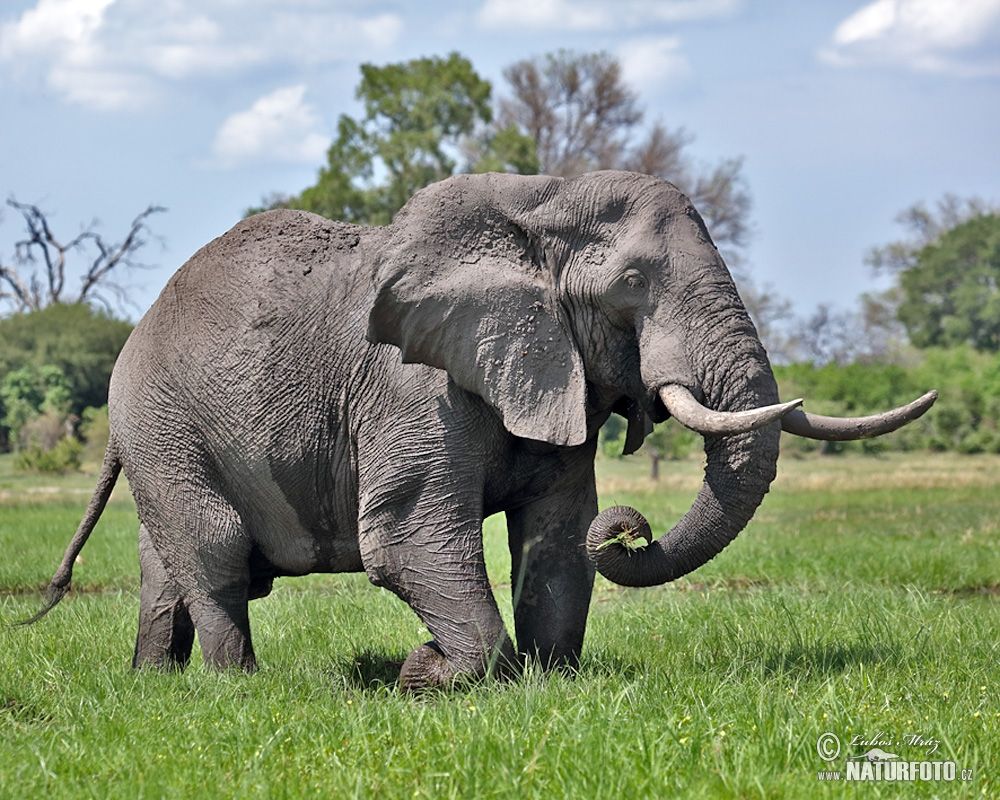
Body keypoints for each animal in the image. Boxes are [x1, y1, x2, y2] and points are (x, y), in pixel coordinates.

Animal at [25, 171, 935, 689]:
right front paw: (425, 676)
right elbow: (408, 539)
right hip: (161, 420)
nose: (633, 530)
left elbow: (560, 533)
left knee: (170, 559)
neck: (538, 201)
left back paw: (154, 684)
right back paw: (239, 689)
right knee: (214, 550)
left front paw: (550, 683)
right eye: (634, 282)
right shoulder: (412, 388)